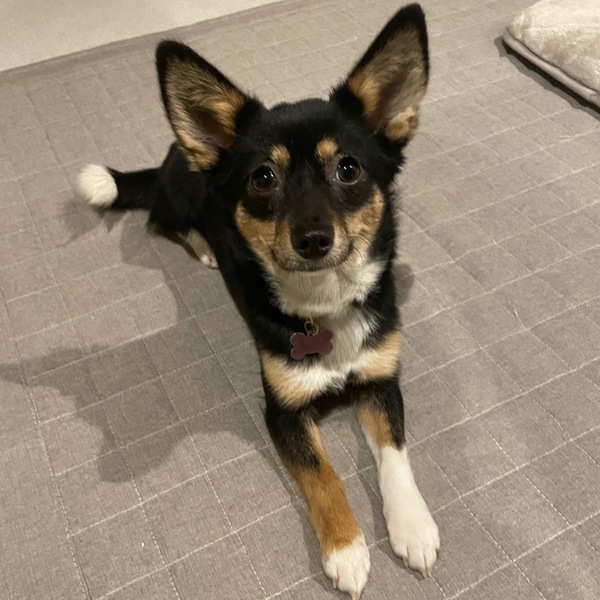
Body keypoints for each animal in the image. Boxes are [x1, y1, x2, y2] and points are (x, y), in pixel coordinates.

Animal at [78, 4, 439, 597]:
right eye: (263, 178)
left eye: (349, 169)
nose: (312, 239)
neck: (324, 303)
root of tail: (179, 149)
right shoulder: (282, 411)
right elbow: (323, 474)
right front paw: (347, 550)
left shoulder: (382, 379)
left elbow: (396, 452)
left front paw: (412, 525)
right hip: (179, 199)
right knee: (159, 218)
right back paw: (203, 246)